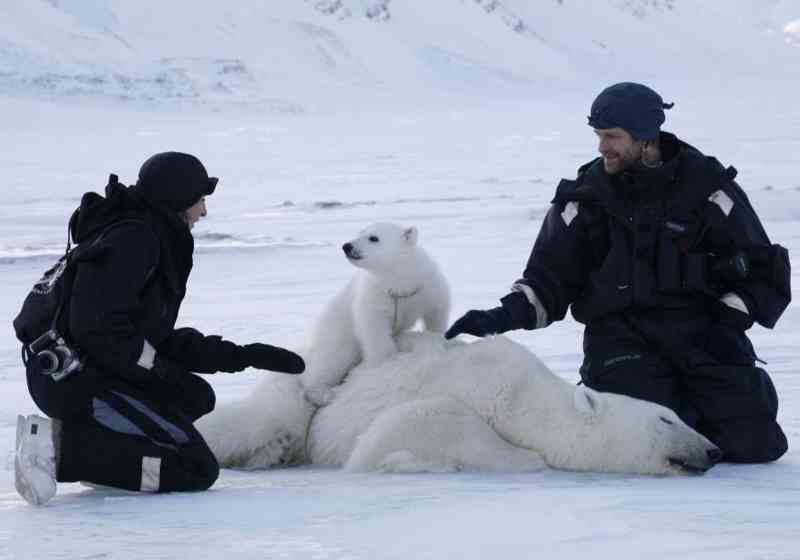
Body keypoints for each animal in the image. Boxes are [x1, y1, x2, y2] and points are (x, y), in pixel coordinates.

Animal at [197, 332, 720, 476]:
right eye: (666, 418)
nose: (714, 450)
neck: (524, 398)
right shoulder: (472, 390)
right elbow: (428, 419)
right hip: (298, 398)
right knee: (257, 422)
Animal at [300, 221, 450, 404]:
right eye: (359, 232)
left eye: (373, 238)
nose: (347, 246)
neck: (400, 281)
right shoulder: (375, 295)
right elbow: (374, 330)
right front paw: (386, 362)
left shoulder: (426, 287)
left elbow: (436, 313)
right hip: (336, 333)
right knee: (328, 361)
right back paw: (322, 393)